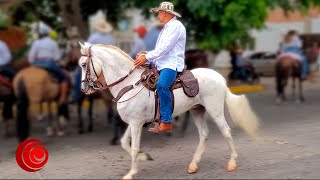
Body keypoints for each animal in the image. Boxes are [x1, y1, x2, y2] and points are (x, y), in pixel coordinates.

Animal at [78, 42, 260, 179]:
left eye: (83, 64)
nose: (83, 89)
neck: (129, 84)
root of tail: (220, 79)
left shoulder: (136, 123)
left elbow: (134, 147)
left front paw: (131, 173)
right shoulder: (134, 122)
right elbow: (124, 142)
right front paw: (145, 156)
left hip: (214, 110)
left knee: (226, 131)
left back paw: (232, 163)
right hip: (197, 110)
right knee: (204, 134)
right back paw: (193, 165)